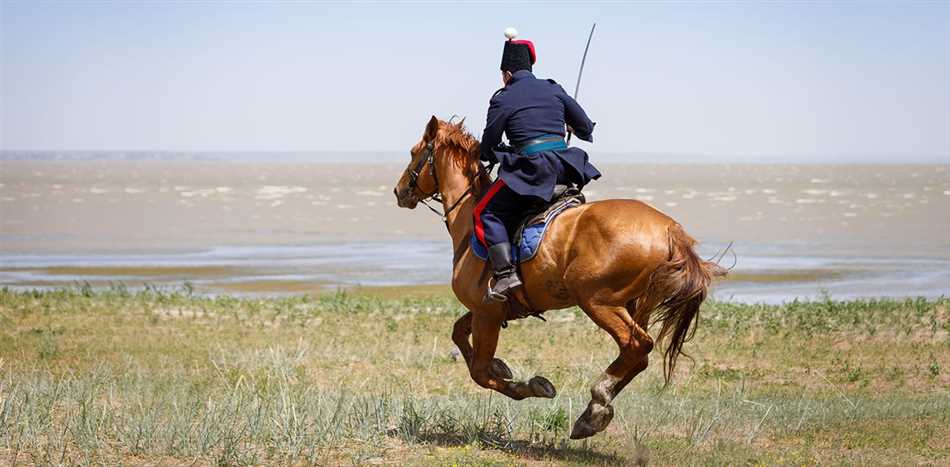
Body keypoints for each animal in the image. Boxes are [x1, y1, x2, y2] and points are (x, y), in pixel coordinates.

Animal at [390, 116, 724, 438]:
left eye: (414, 152)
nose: (399, 191)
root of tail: (669, 229)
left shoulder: (487, 311)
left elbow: (480, 372)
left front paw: (530, 384)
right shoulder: (494, 309)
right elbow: (459, 333)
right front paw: (502, 366)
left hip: (597, 301)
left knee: (637, 345)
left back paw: (596, 405)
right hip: (635, 304)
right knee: (638, 356)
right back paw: (596, 410)